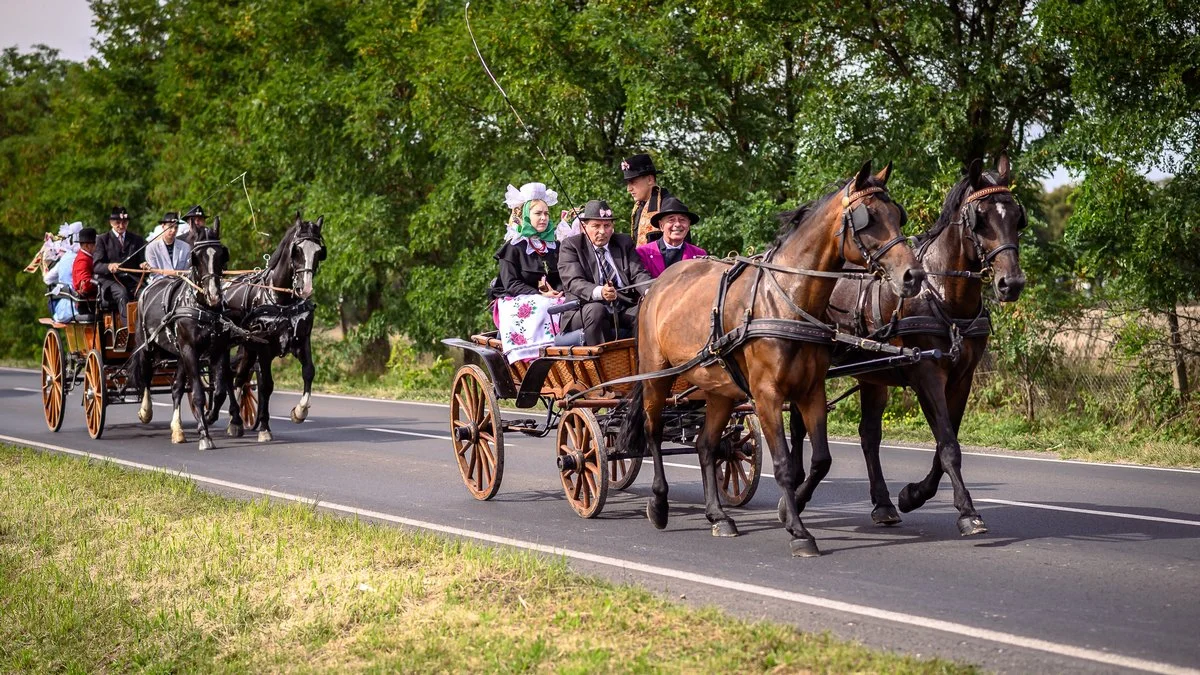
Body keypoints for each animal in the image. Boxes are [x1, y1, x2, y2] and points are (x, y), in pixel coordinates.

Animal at [129, 223, 231, 449]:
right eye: (197, 257)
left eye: (221, 255)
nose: (214, 296)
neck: (201, 307)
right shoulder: (190, 350)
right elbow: (198, 394)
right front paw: (205, 436)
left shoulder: (218, 350)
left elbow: (219, 391)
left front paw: (209, 417)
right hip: (148, 347)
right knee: (146, 378)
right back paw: (145, 411)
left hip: (179, 354)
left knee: (176, 388)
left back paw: (177, 430)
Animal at [210, 211, 324, 441]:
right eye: (297, 250)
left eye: (319, 251)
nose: (306, 288)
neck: (281, 300)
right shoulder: (264, 348)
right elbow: (266, 385)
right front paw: (264, 428)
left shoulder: (302, 340)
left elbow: (308, 371)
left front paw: (300, 412)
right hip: (230, 344)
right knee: (227, 375)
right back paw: (235, 420)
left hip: (246, 346)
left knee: (239, 376)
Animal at [619, 159, 926, 554]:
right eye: (867, 218)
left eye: (897, 215)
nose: (913, 276)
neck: (787, 300)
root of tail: (657, 286)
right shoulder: (767, 396)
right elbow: (782, 463)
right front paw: (798, 531)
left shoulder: (811, 391)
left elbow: (821, 460)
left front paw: (789, 509)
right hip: (657, 374)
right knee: (653, 432)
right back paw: (658, 504)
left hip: (719, 390)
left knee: (706, 446)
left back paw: (719, 516)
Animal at [787, 154, 1032, 533]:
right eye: (980, 219)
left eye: (1017, 217)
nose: (1012, 283)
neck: (942, 293)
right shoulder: (926, 373)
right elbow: (948, 445)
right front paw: (967, 512)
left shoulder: (962, 378)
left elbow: (945, 443)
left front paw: (913, 494)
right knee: (799, 426)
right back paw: (797, 487)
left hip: (871, 375)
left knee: (869, 434)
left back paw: (883, 504)